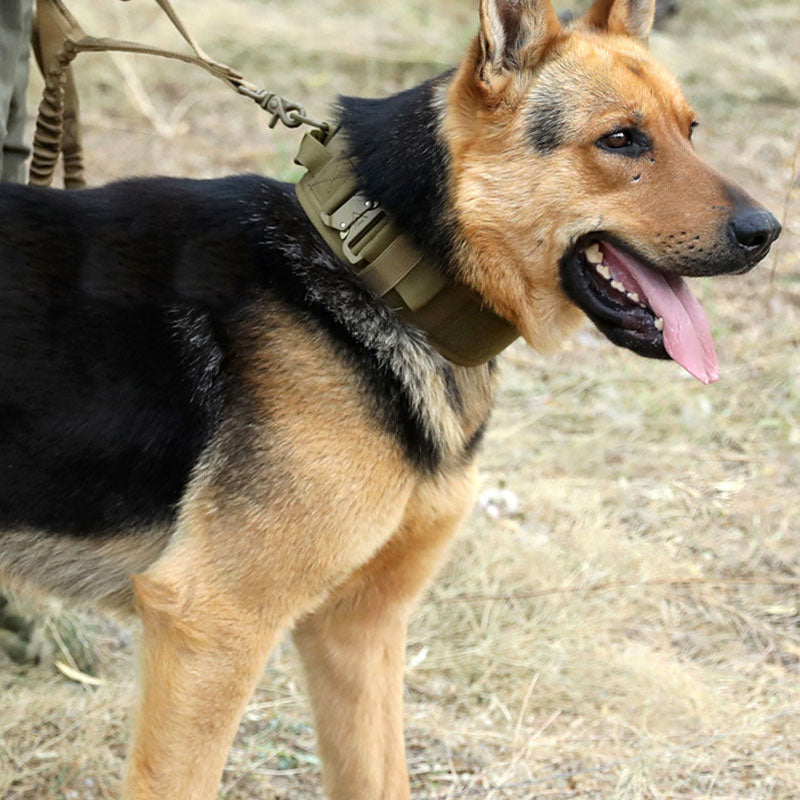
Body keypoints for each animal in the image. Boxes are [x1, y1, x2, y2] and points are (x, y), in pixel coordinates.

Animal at [0, 0, 780, 796]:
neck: (380, 279)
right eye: (620, 139)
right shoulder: (211, 626)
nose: (768, 232)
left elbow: (379, 774)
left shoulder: (358, 624)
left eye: (691, 132)